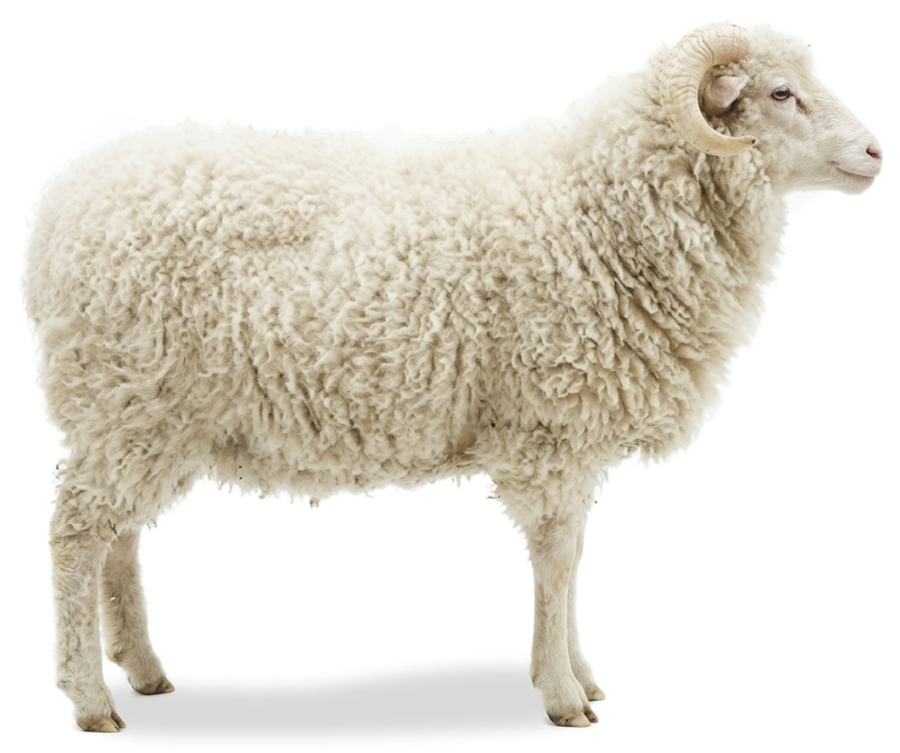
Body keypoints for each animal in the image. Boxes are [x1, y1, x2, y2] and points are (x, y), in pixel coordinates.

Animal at [19, 19, 883, 735]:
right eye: (779, 92)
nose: (876, 152)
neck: (602, 203)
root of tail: (79, 174)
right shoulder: (548, 427)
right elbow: (557, 557)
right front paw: (564, 694)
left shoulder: (571, 436)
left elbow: (573, 554)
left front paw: (582, 676)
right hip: (127, 401)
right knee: (78, 533)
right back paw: (91, 699)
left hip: (145, 415)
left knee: (119, 537)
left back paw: (144, 671)